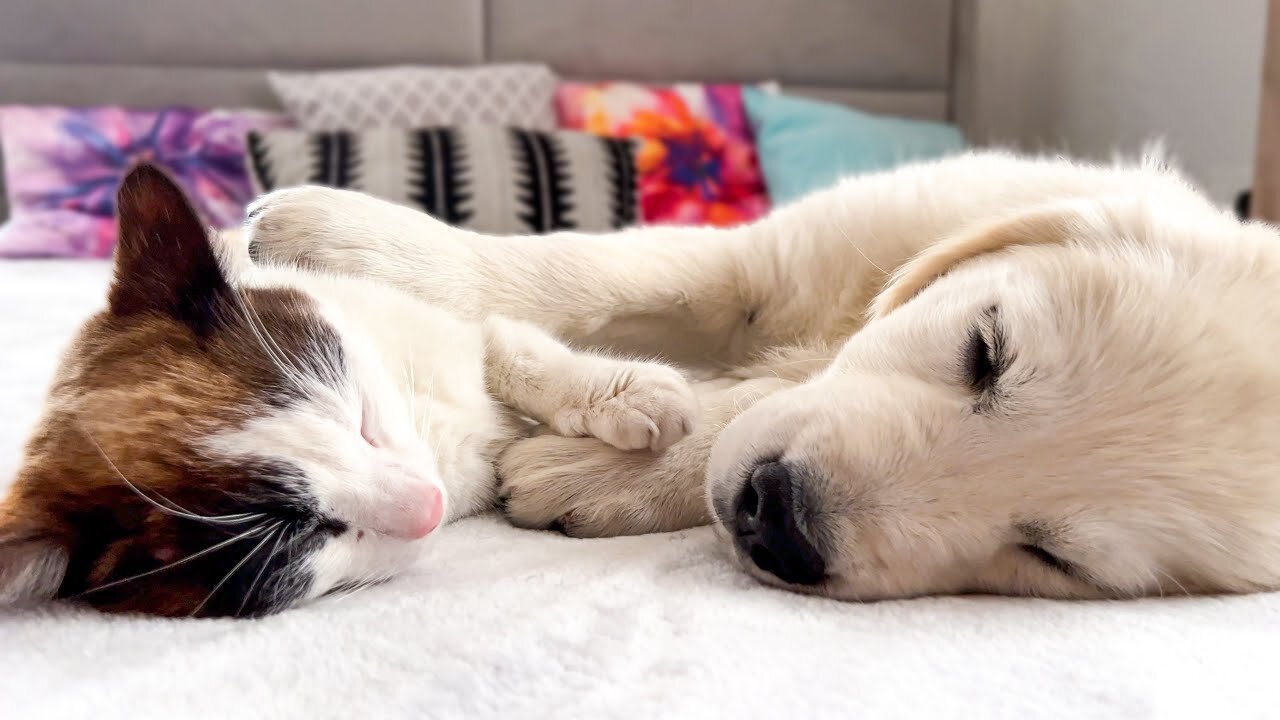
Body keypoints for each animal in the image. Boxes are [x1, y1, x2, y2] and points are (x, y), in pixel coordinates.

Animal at [0, 165, 696, 614]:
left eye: (358, 415)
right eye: (303, 537)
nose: (430, 506)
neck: (437, 435)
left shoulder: (446, 328)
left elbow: (516, 350)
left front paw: (628, 394)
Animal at [247, 151, 1280, 599]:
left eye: (1055, 559)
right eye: (985, 352)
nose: (778, 521)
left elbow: (729, 408)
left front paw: (597, 471)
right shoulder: (792, 252)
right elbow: (608, 268)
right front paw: (352, 240)